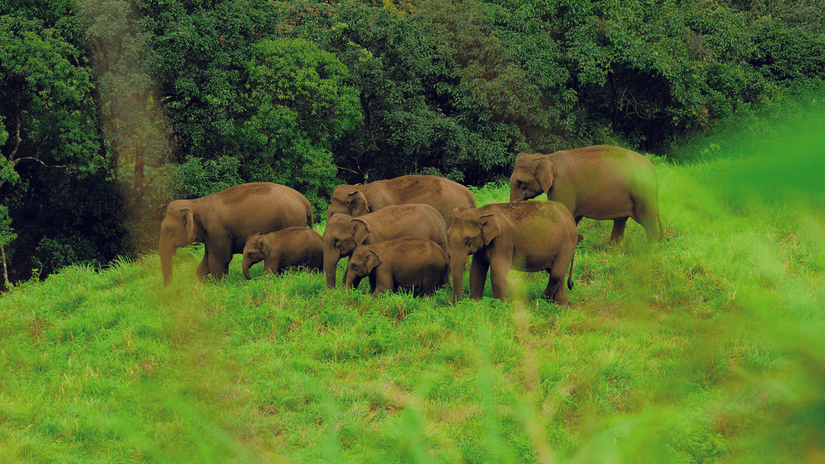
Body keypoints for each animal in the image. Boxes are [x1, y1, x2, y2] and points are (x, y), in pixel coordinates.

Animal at [159, 182, 313, 285]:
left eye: (168, 229)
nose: (169, 289)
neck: (194, 203)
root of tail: (304, 200)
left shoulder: (217, 231)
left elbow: (218, 261)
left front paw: (219, 286)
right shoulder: (210, 235)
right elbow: (207, 262)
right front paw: (206, 283)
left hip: (292, 220)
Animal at [448, 201, 579, 305]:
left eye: (468, 239)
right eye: (448, 233)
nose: (456, 305)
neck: (482, 212)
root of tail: (569, 215)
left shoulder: (503, 240)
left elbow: (498, 271)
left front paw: (500, 307)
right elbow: (476, 270)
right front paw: (475, 305)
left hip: (567, 242)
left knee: (556, 273)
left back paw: (541, 301)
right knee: (558, 273)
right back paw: (561, 307)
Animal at [509, 145, 662, 242]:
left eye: (520, 182)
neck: (547, 157)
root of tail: (653, 168)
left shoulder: (562, 185)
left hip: (642, 193)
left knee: (647, 220)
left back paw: (651, 249)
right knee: (621, 221)